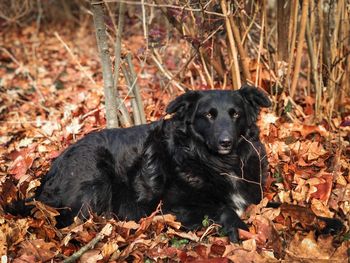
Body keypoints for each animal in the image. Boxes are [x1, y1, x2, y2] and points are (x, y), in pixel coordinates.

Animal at [15, 85, 270, 242]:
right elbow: (223, 208)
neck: (217, 161)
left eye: (235, 114)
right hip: (96, 177)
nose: (225, 141)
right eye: (208, 115)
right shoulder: (173, 207)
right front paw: (240, 229)